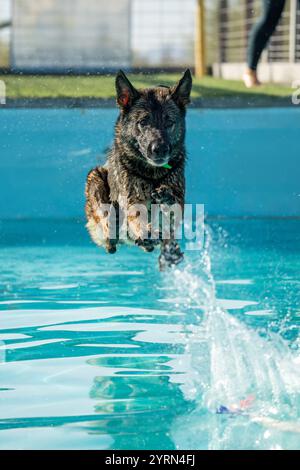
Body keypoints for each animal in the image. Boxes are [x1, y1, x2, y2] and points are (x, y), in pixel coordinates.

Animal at [84, 68, 192, 270]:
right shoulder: (132, 200)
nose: (159, 148)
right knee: (108, 226)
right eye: (143, 122)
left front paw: (166, 199)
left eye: (169, 122)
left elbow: (173, 208)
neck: (152, 174)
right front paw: (146, 231)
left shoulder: (178, 197)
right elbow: (136, 215)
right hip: (95, 176)